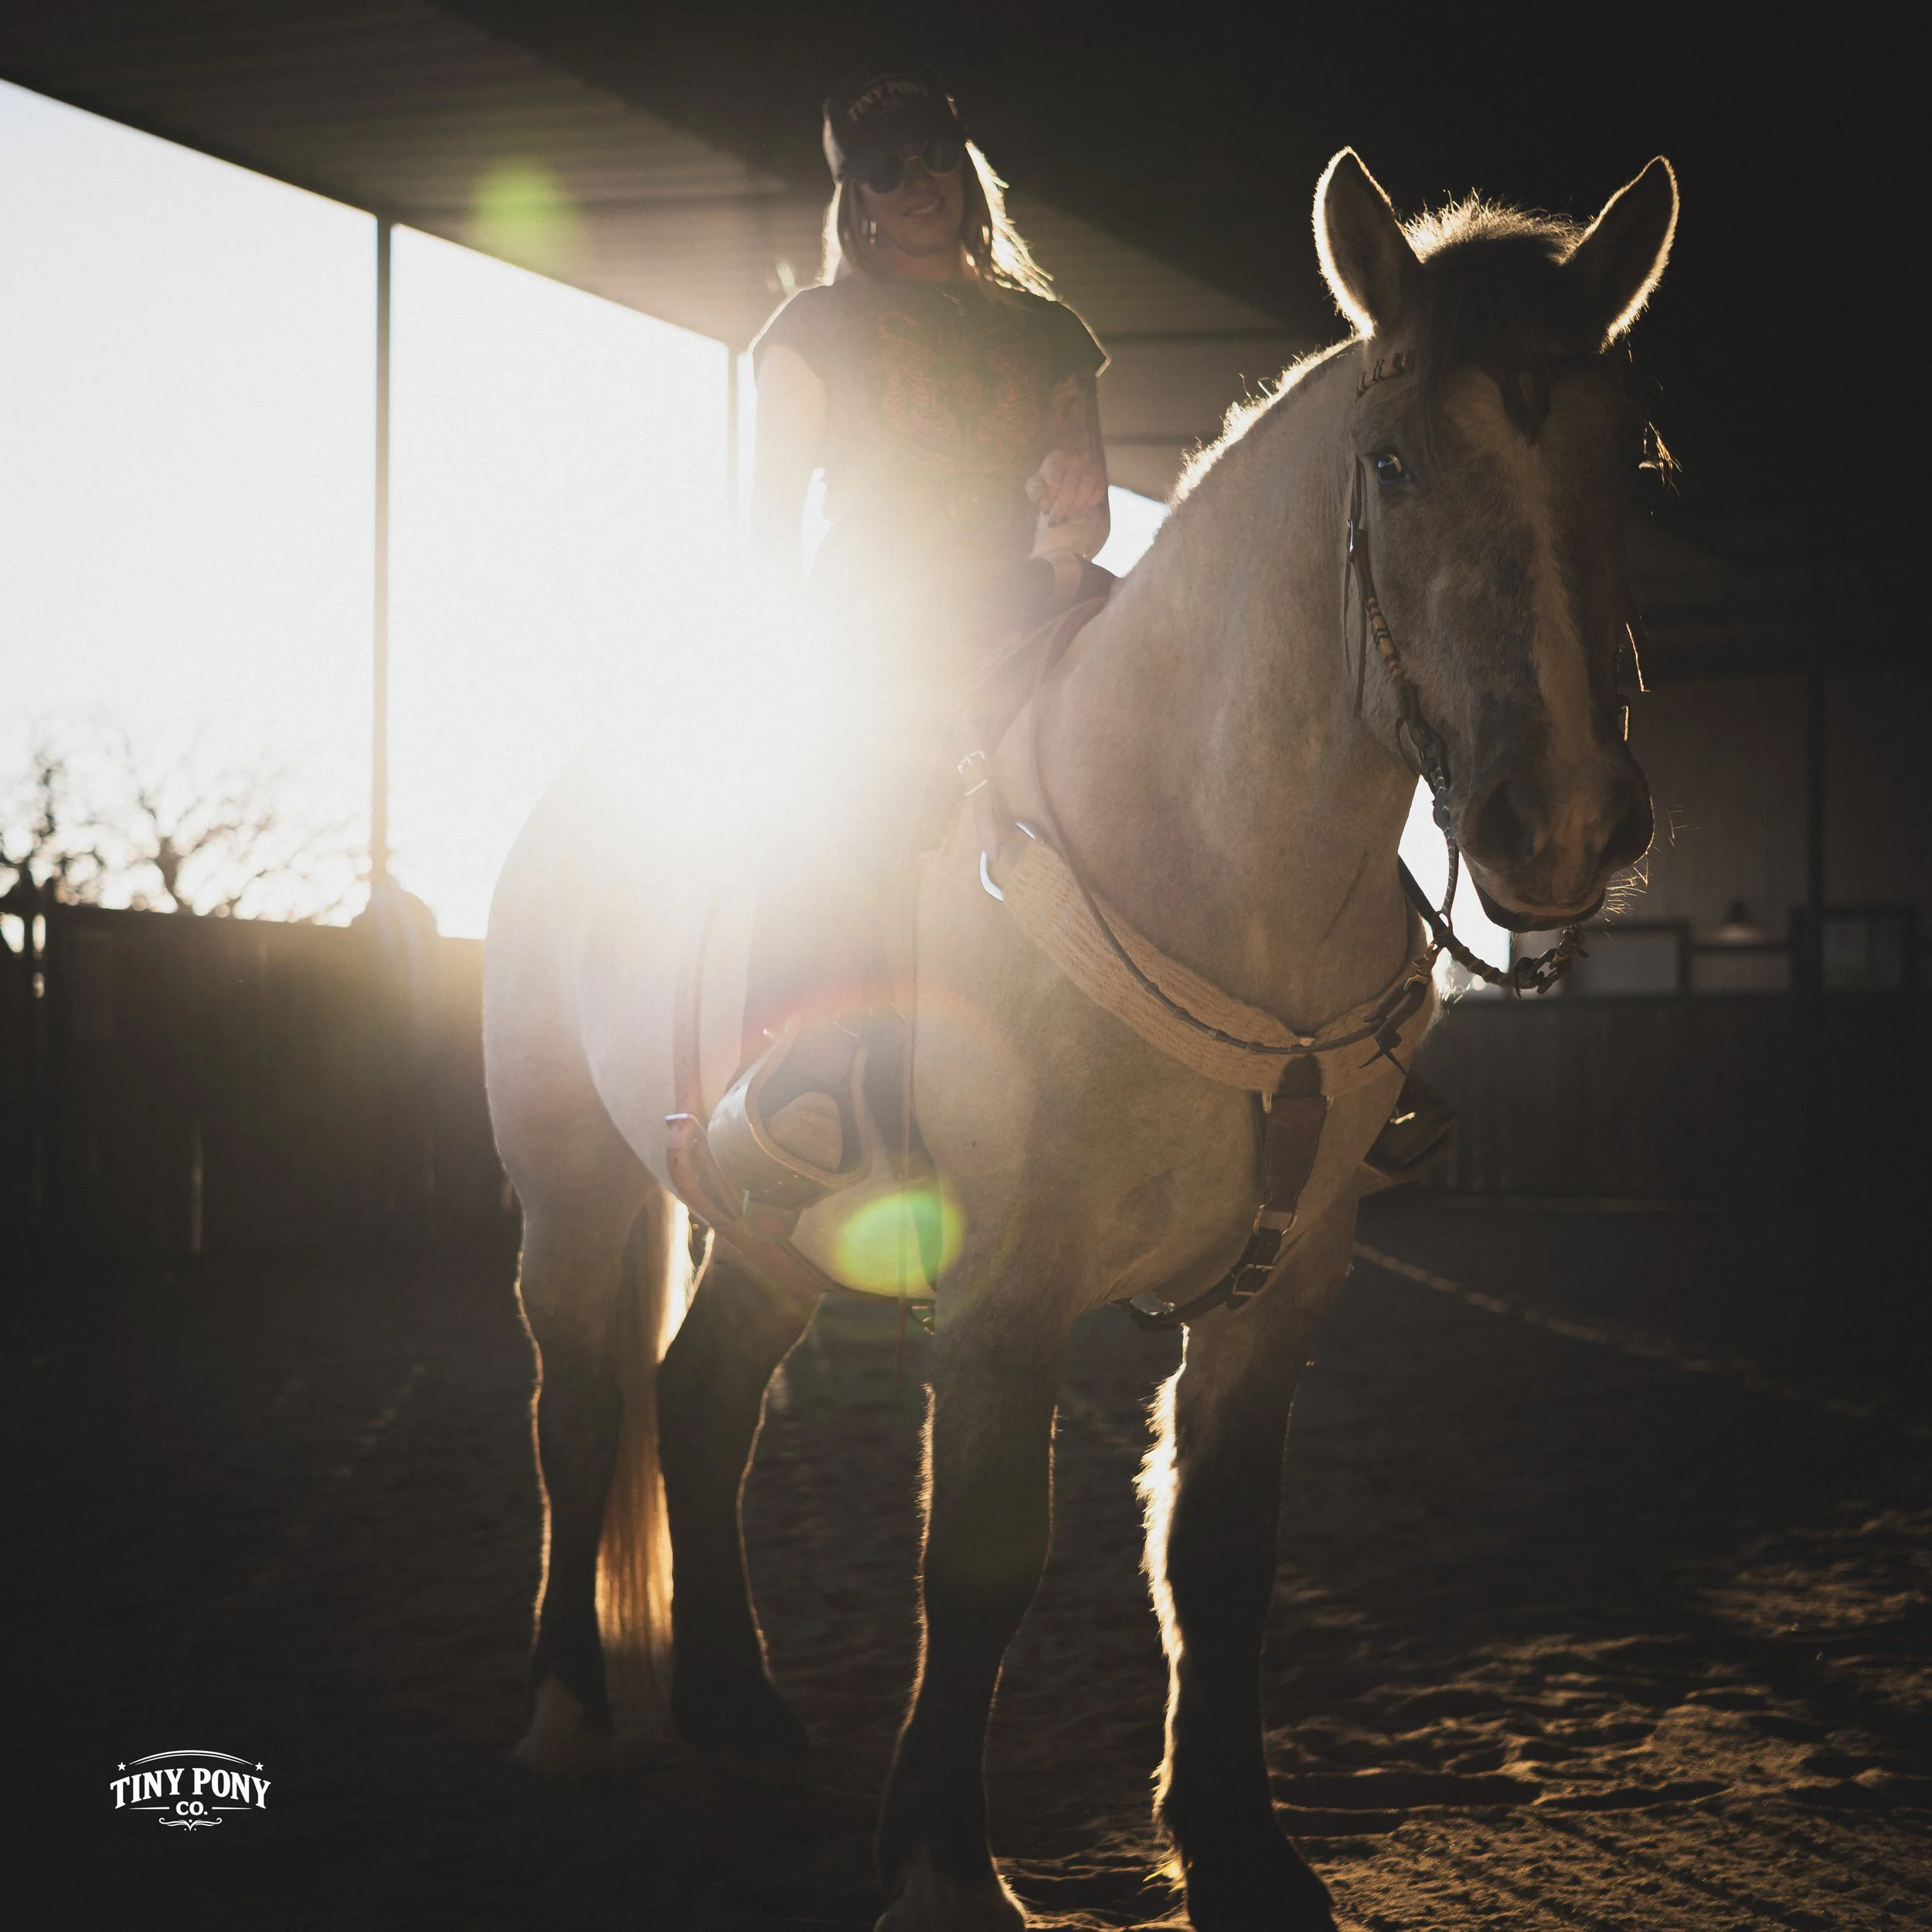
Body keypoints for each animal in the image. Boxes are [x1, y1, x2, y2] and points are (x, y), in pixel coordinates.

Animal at [482, 147, 1678, 1932]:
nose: (1566, 820)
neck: (1206, 853)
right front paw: (940, 1866)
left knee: (700, 1400)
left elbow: (1218, 1556)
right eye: (1391, 461)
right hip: (573, 1185)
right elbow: (983, 1553)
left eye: (1630, 460)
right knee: (578, 1414)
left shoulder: (1285, 1284)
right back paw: (567, 1716)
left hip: (770, 1227)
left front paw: (1242, 1850)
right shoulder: (1006, 1280)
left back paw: (739, 1710)